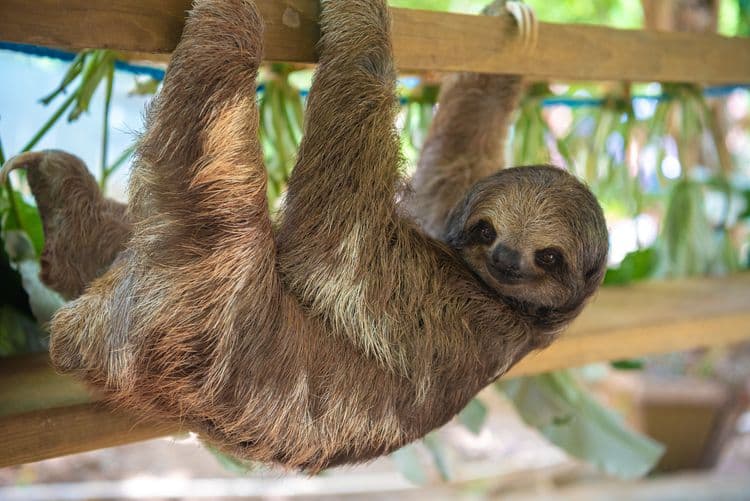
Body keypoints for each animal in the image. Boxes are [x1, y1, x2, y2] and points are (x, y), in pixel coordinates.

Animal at [1, 0, 608, 471]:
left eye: (549, 258)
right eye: (486, 229)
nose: (506, 257)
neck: (512, 309)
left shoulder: (449, 307)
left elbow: (335, 244)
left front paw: (363, 18)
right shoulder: (448, 242)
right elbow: (450, 166)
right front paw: (508, 29)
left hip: (202, 293)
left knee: (213, 128)